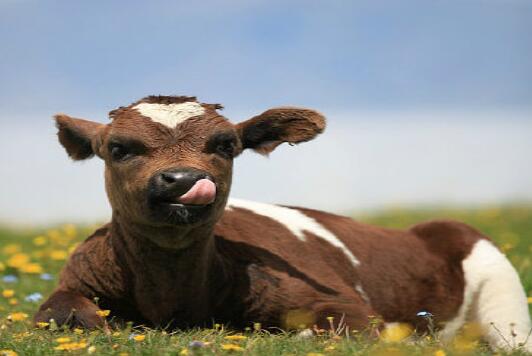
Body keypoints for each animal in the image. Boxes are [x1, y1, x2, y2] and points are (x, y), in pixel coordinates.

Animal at [35, 95, 528, 350]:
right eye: (119, 148)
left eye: (225, 145)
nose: (184, 180)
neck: (172, 299)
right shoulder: (75, 279)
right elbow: (60, 314)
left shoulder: (346, 306)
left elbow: (329, 330)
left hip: (503, 302)